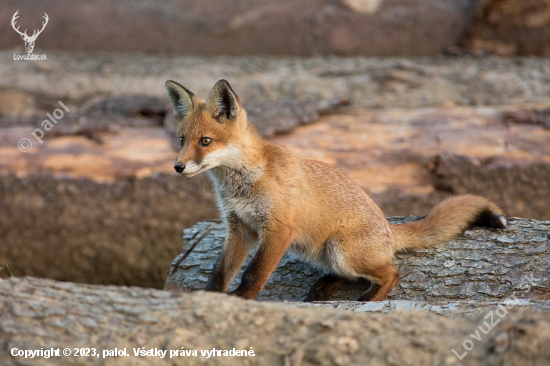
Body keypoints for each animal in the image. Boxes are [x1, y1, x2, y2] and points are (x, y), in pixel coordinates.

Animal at [165, 78, 508, 302]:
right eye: (182, 140)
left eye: (205, 141)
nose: (177, 167)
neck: (241, 184)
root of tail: (387, 228)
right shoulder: (240, 228)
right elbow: (220, 271)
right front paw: (210, 297)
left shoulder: (277, 228)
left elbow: (253, 272)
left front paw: (241, 299)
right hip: (328, 252)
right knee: (353, 274)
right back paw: (324, 288)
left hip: (341, 250)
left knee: (392, 272)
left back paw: (369, 300)